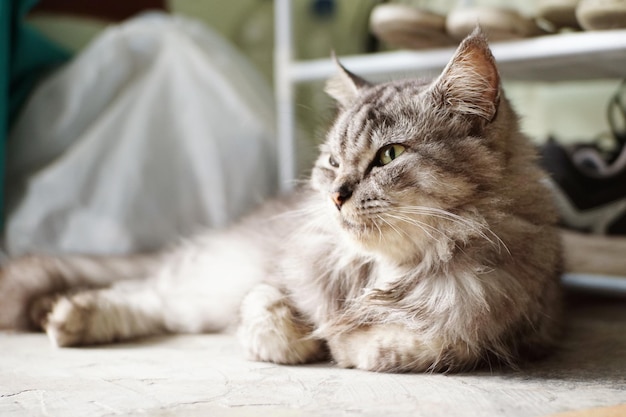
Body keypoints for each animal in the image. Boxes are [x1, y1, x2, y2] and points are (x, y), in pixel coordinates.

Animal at [0, 31, 560, 370]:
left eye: (389, 155)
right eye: (333, 161)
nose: (336, 196)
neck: (383, 270)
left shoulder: (504, 330)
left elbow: (414, 344)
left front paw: (343, 342)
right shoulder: (275, 278)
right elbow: (271, 317)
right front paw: (307, 338)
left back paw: (63, 318)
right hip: (210, 279)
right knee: (144, 292)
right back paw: (65, 317)